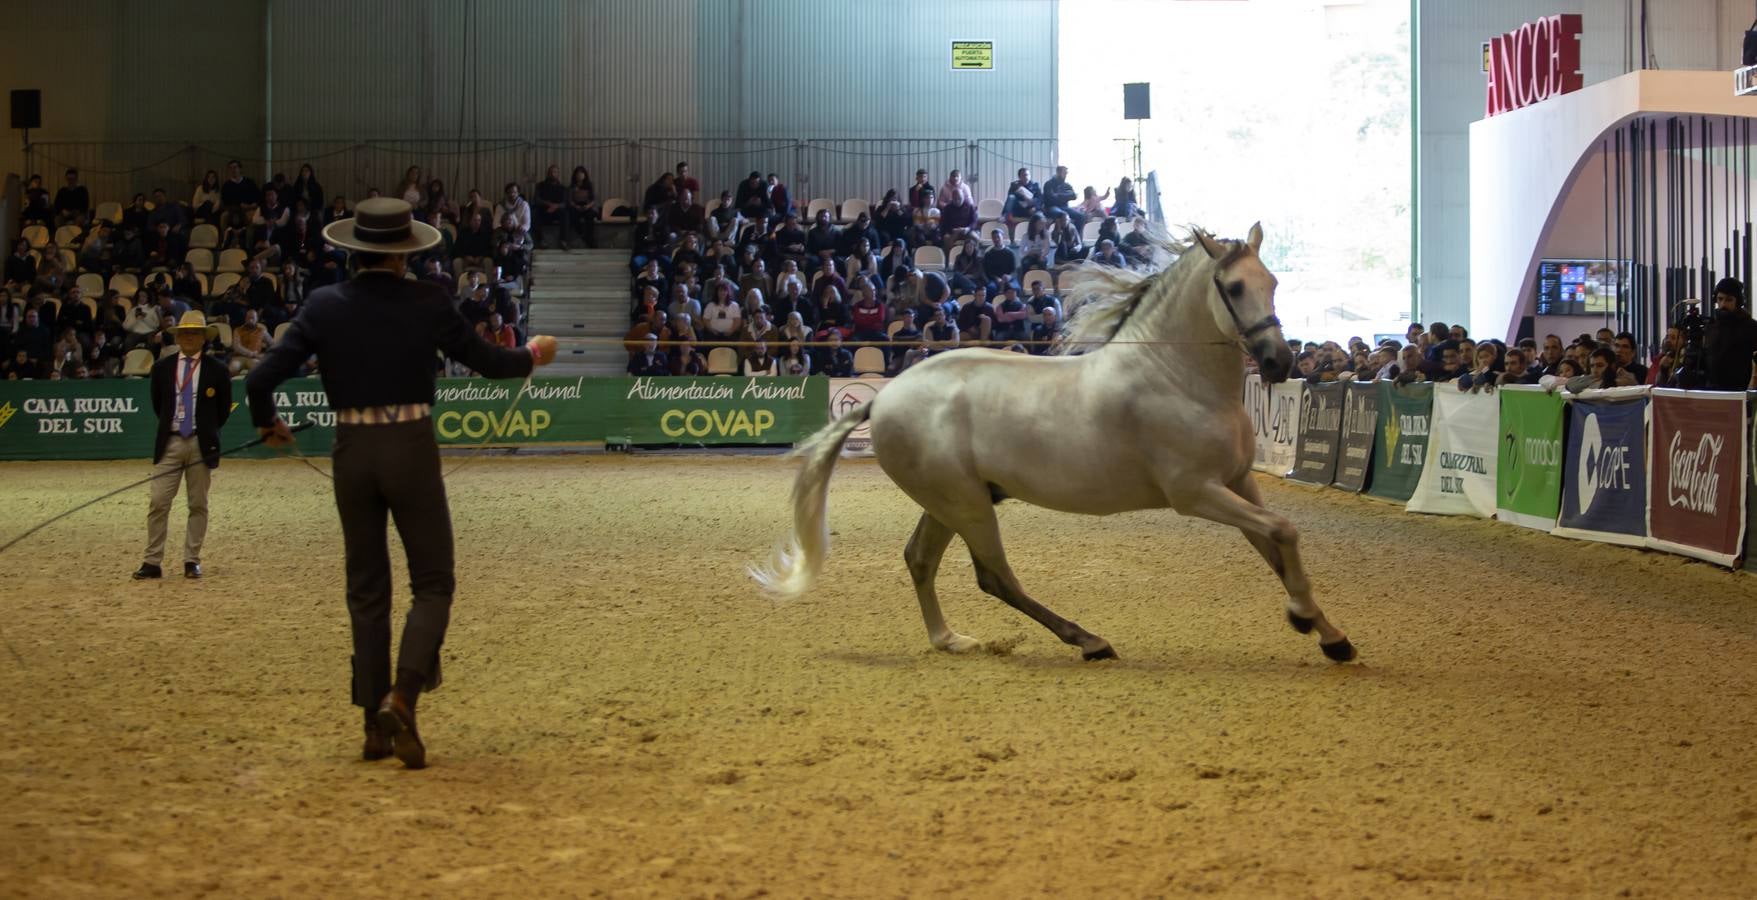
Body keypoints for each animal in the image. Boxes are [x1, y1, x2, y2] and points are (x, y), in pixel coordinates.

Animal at [748, 222, 1349, 664]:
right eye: (1235, 287)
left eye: (1272, 282)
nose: (1279, 362)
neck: (1177, 377)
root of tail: (884, 397)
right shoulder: (1195, 493)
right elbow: (1285, 531)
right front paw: (1306, 620)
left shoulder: (1239, 482)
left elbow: (1275, 547)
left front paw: (1328, 633)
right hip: (965, 503)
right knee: (994, 576)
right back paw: (1089, 641)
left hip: (950, 501)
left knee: (919, 559)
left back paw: (951, 640)